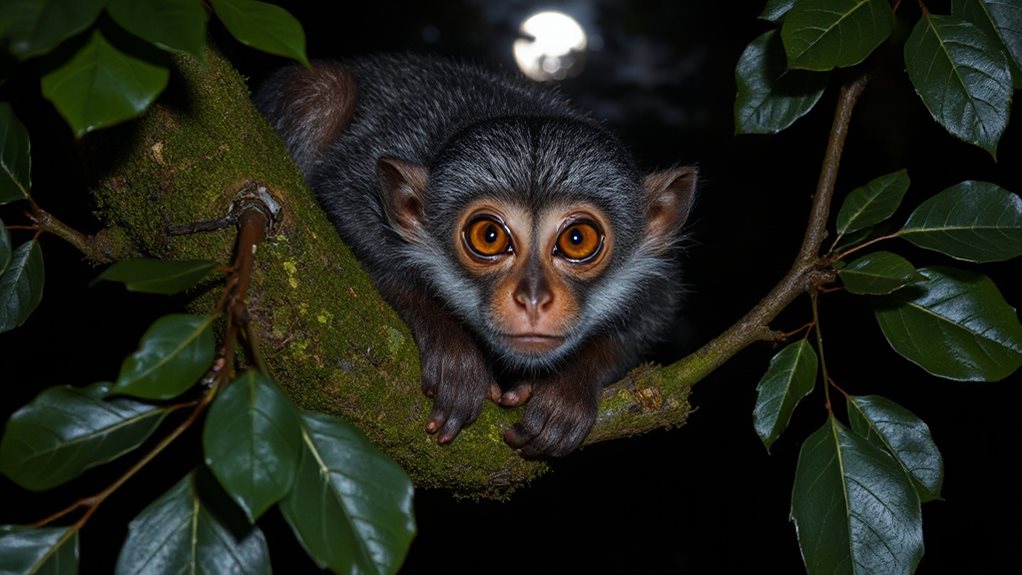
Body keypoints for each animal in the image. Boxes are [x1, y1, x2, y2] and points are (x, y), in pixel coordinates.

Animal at [255, 55, 696, 457]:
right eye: (489, 236)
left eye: (576, 239)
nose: (532, 299)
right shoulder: (356, 186)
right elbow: (340, 240)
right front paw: (453, 351)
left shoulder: (654, 278)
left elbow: (654, 309)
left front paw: (567, 391)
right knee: (326, 88)